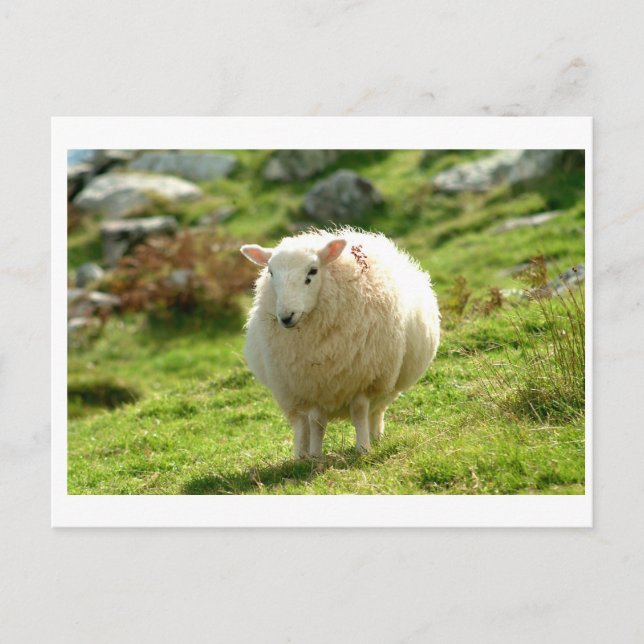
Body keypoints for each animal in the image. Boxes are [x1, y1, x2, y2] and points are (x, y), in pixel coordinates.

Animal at [240, 227, 440, 458]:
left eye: (313, 271)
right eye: (271, 273)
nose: (286, 317)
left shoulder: (362, 377)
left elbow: (359, 411)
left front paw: (363, 448)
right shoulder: (312, 385)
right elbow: (316, 421)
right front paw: (315, 456)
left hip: (387, 381)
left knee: (376, 410)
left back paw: (375, 437)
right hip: (290, 390)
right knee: (301, 423)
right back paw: (300, 454)